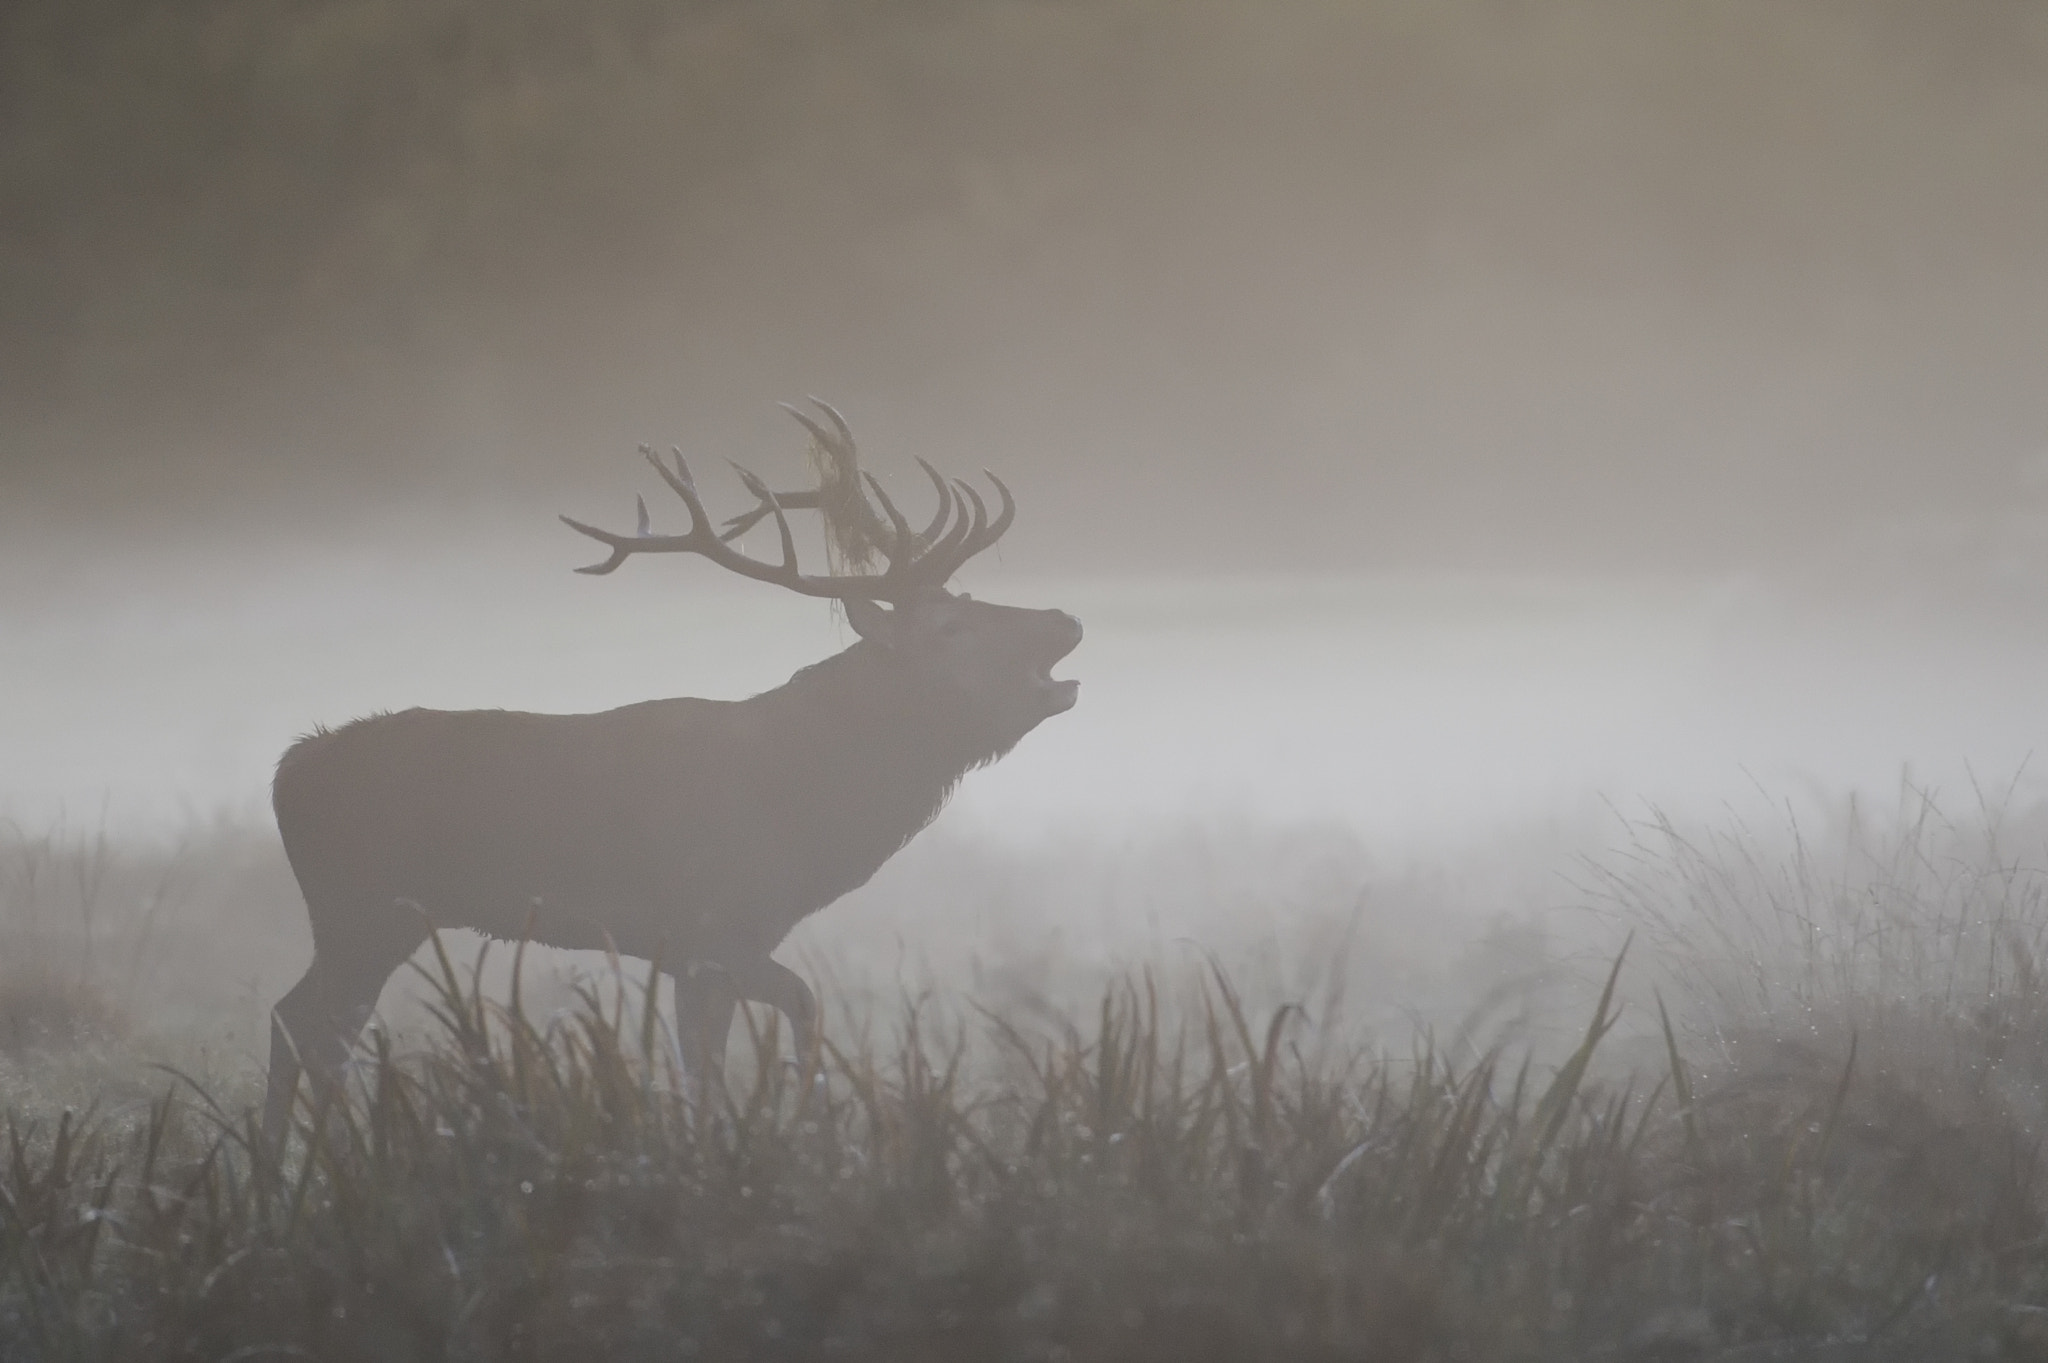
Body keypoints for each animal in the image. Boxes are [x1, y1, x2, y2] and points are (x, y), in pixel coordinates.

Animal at [262, 402, 1081, 1138]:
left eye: (967, 598)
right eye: (951, 627)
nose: (1065, 619)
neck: (807, 805)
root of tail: (287, 770)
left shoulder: (713, 948)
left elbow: (731, 1055)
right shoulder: (707, 929)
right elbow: (756, 1041)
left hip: (371, 919)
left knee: (293, 1018)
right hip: (362, 908)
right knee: (312, 1027)